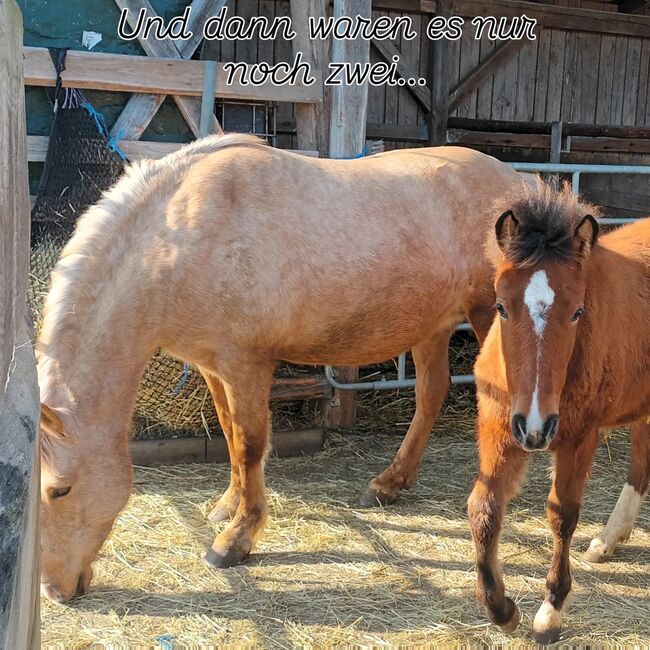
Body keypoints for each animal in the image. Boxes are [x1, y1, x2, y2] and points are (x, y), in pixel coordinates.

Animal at [38, 133, 524, 604]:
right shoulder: (213, 366)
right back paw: (388, 484)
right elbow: (229, 434)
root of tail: (519, 180)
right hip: (432, 324)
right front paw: (228, 505)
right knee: (431, 393)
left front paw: (236, 539)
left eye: (60, 489)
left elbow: (250, 445)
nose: (55, 591)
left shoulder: (246, 364)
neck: (181, 242)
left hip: (490, 316)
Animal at [466, 178, 648, 644]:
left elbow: (562, 514)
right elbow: (484, 509)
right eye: (501, 306)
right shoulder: (498, 426)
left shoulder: (579, 437)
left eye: (578, 311)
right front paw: (502, 609)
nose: (535, 427)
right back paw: (608, 540)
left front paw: (550, 611)